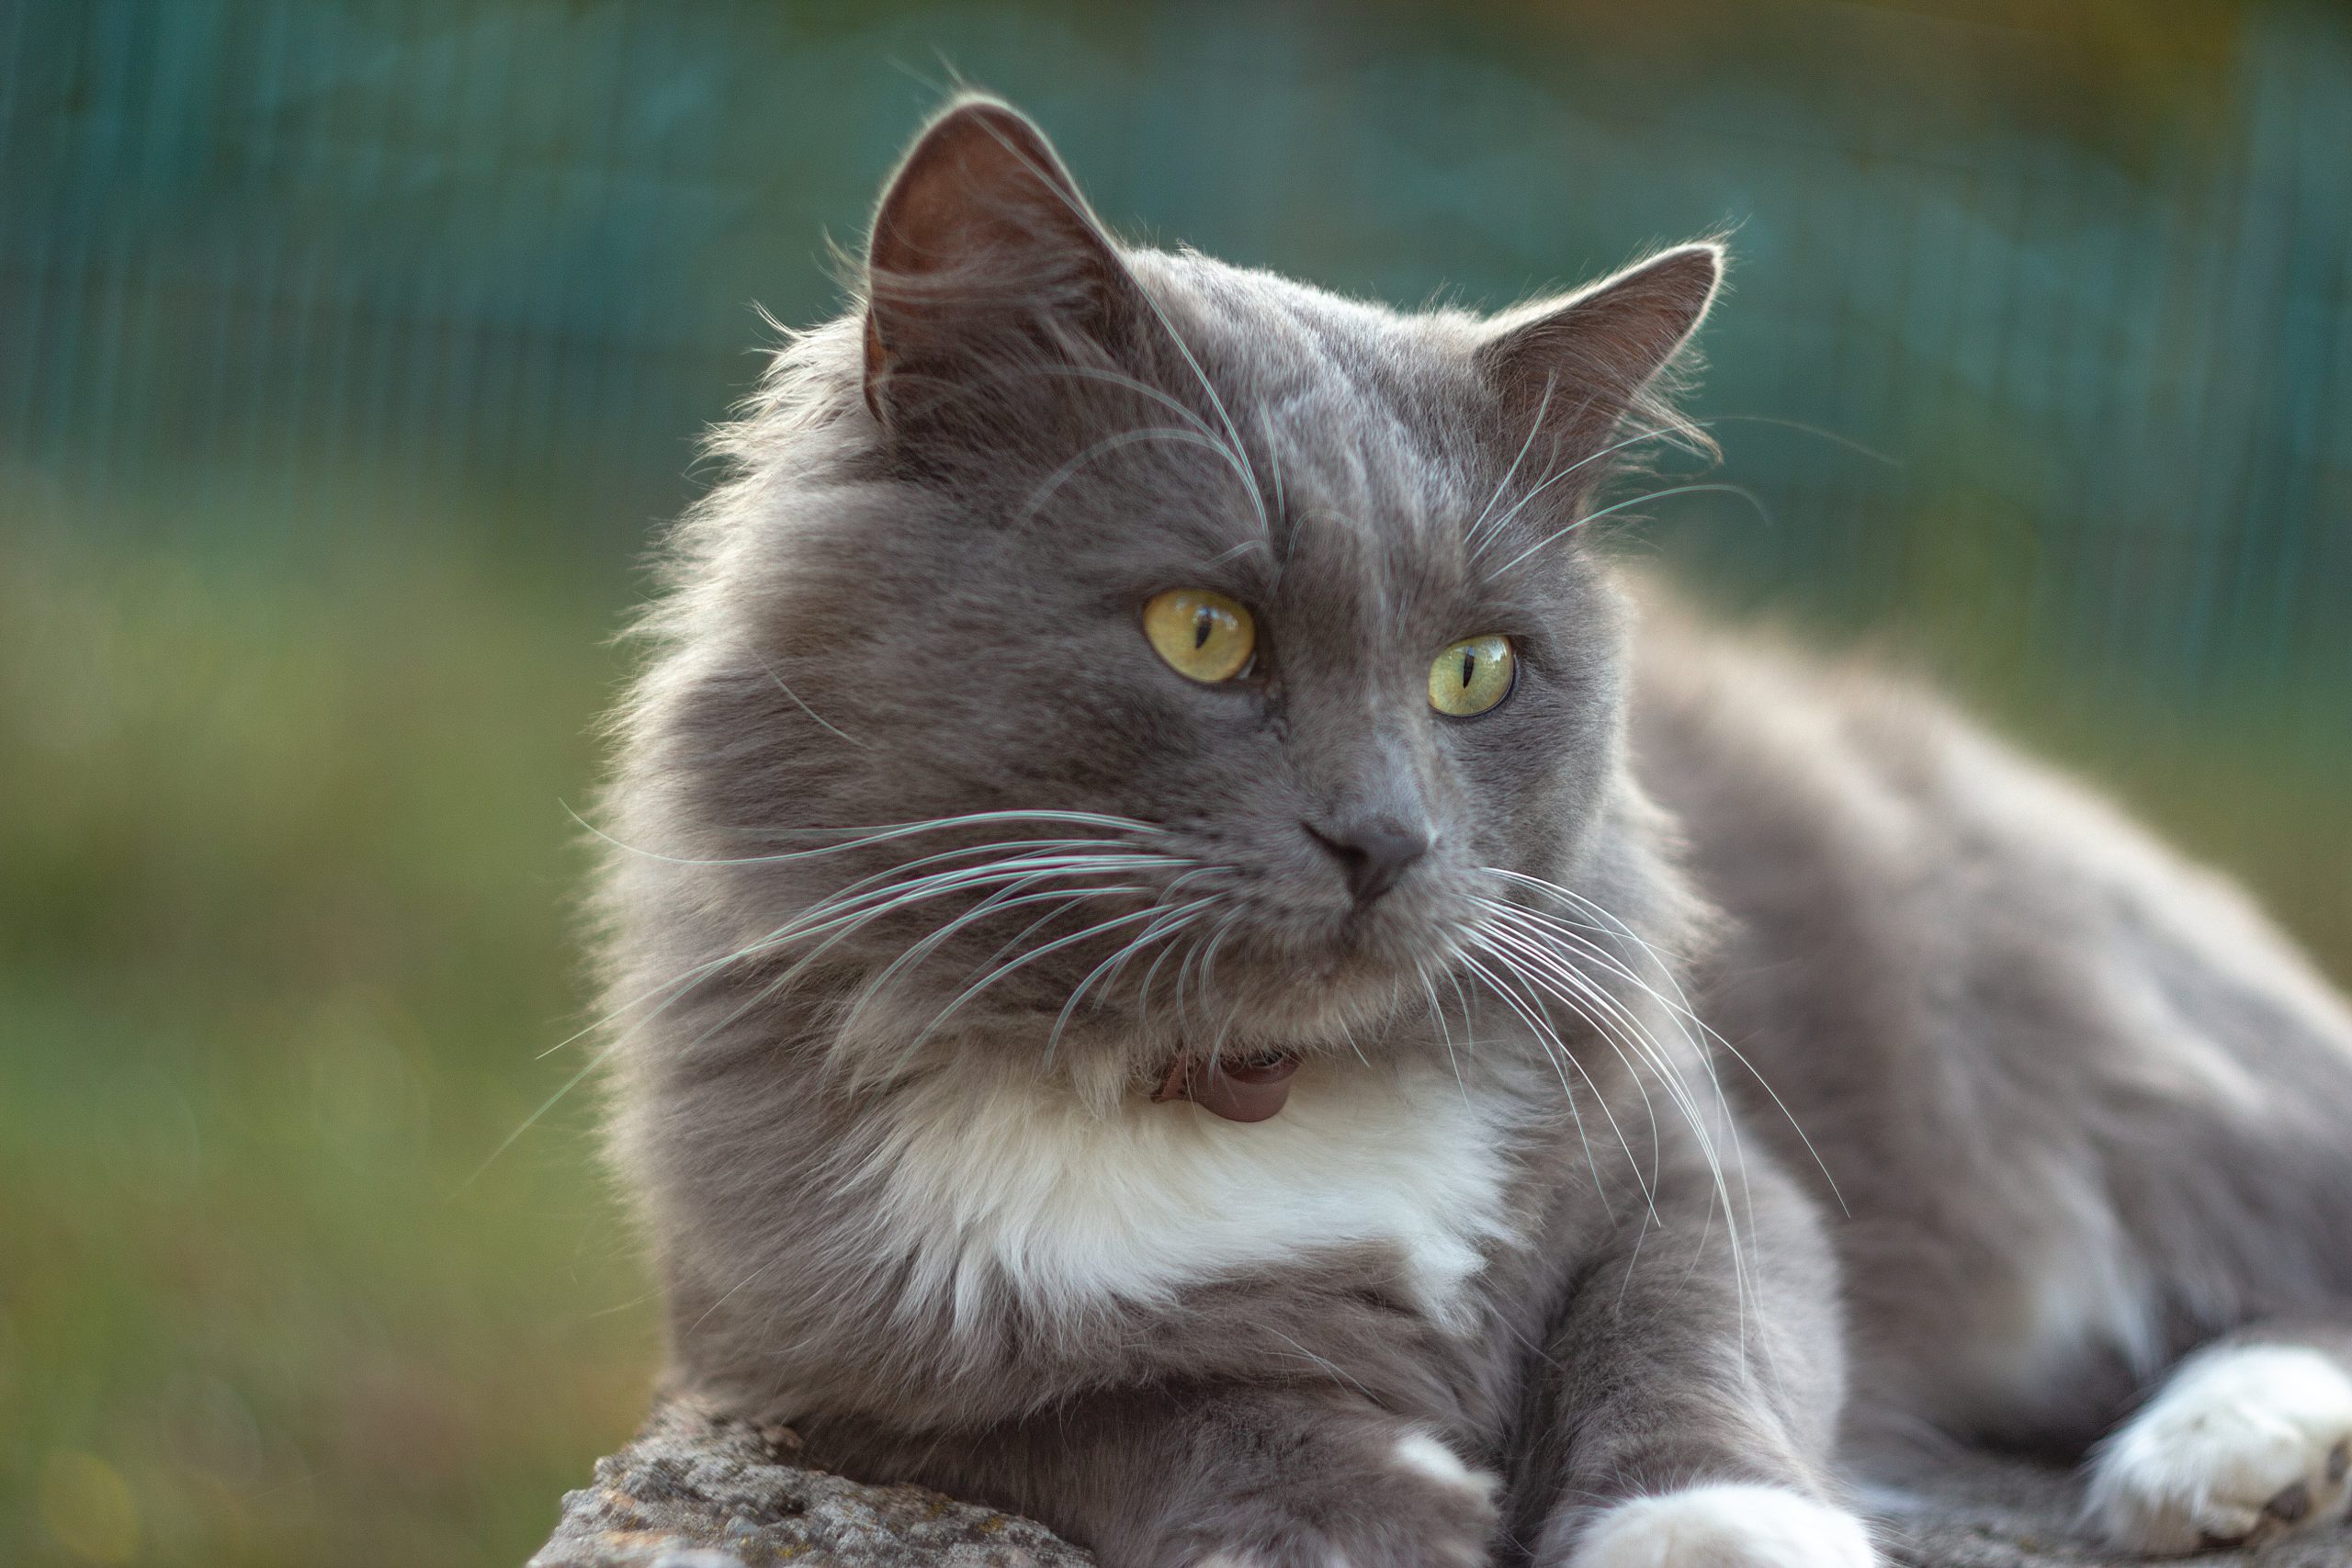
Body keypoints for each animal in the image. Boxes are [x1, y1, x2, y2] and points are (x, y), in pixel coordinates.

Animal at [593, 101, 2352, 1568]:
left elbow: (1688, 1346)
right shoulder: (810, 1356)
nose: (1383, 838)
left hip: (2065, 1080)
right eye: (1203, 632)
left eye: (1475, 669)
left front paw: (1710, 1535)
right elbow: (1127, 1407)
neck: (1246, 1088)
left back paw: (2220, 1459)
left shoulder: (1698, 1167)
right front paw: (1379, 1510)